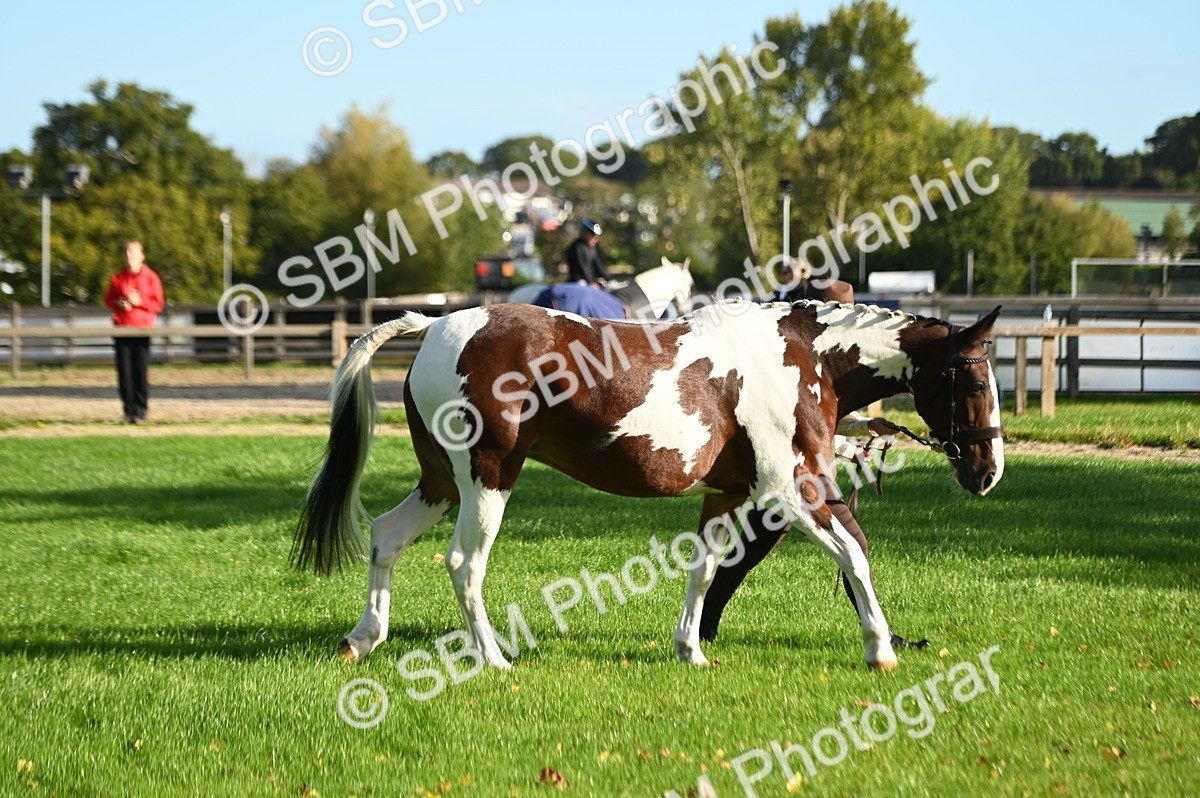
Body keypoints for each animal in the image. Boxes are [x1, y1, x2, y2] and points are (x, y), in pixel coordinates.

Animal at [293, 299, 1005, 672]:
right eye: (972, 380)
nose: (987, 471)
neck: (804, 360)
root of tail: (437, 324)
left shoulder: (727, 495)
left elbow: (703, 569)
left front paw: (691, 649)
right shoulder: (789, 490)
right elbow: (854, 553)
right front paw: (881, 650)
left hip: (441, 481)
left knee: (386, 537)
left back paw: (363, 638)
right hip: (487, 480)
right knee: (464, 563)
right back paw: (494, 659)